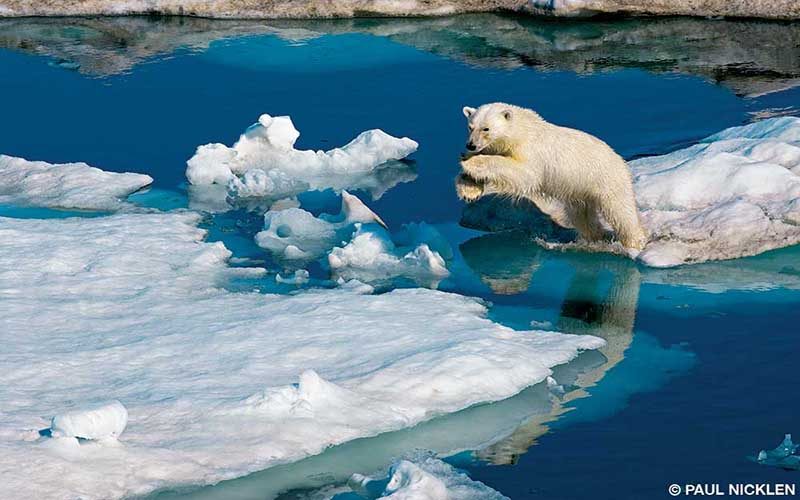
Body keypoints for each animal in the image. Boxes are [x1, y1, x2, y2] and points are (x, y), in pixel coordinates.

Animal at [455, 102, 648, 251]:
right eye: (470, 127)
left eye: (486, 128)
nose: (470, 145)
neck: (522, 130)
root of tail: (620, 160)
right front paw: (469, 190)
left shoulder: (531, 150)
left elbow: (523, 174)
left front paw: (471, 162)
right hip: (581, 190)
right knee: (582, 215)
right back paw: (594, 237)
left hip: (607, 179)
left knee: (621, 211)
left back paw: (635, 242)